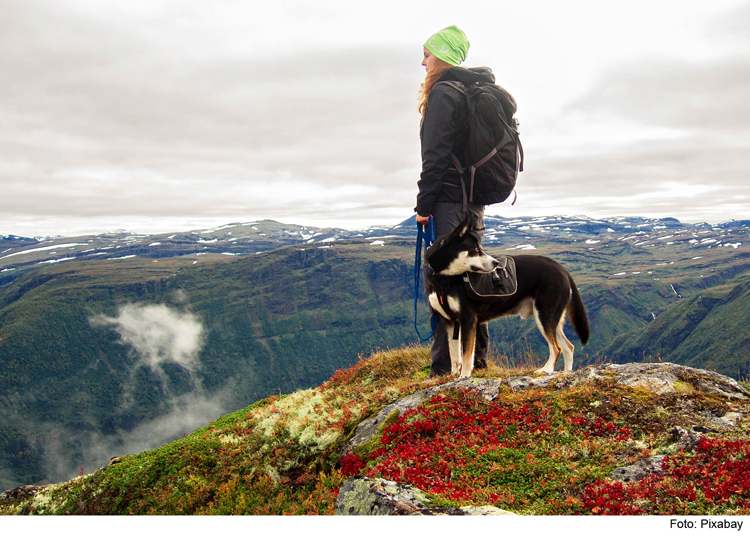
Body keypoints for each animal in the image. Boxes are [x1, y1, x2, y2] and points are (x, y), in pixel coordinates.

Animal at [426, 214, 592, 378]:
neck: (443, 279)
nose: (495, 263)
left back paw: (546, 370)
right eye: (476, 249)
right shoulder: (449, 322)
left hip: (544, 315)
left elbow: (467, 355)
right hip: (551, 318)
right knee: (568, 347)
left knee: (557, 348)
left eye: (480, 248)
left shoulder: (468, 319)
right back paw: (566, 372)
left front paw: (465, 376)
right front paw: (454, 376)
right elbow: (454, 355)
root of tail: (563, 270)